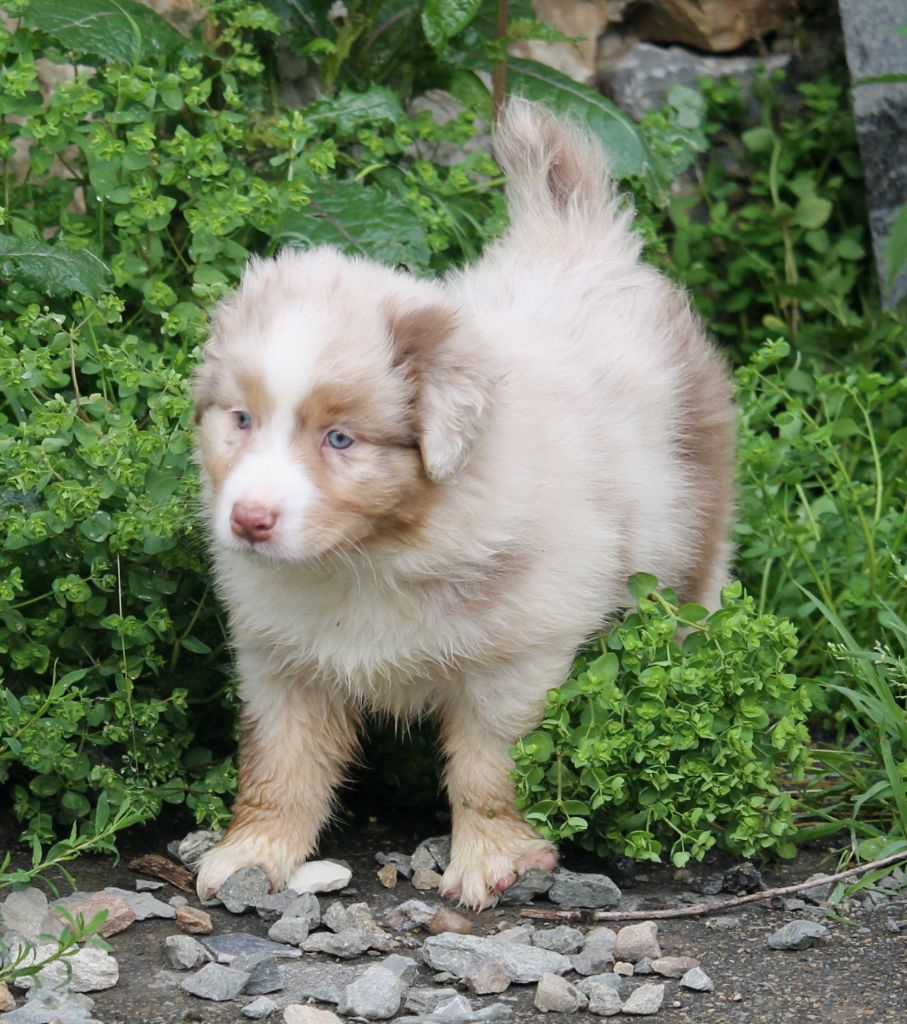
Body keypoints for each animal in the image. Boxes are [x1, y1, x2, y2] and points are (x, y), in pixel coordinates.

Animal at [193, 99, 737, 909]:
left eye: (340, 438)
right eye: (241, 419)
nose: (249, 520)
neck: (370, 557)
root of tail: (574, 241)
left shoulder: (520, 655)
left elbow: (491, 769)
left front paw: (491, 859)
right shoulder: (280, 659)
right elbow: (278, 765)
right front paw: (252, 855)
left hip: (688, 529)